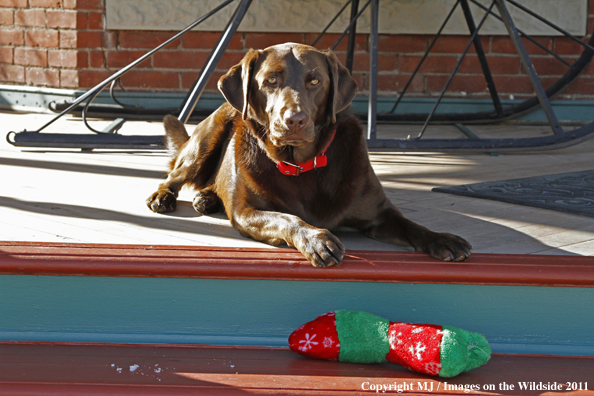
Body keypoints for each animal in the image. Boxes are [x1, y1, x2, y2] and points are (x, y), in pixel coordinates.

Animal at [146, 42, 470, 266]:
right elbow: (286, 218)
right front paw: (317, 240)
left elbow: (411, 224)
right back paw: (165, 196)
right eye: (271, 81)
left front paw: (442, 239)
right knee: (175, 174)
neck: (302, 163)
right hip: (206, 139)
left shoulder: (380, 213)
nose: (295, 120)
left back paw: (207, 198)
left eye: (315, 81)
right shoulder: (247, 212)